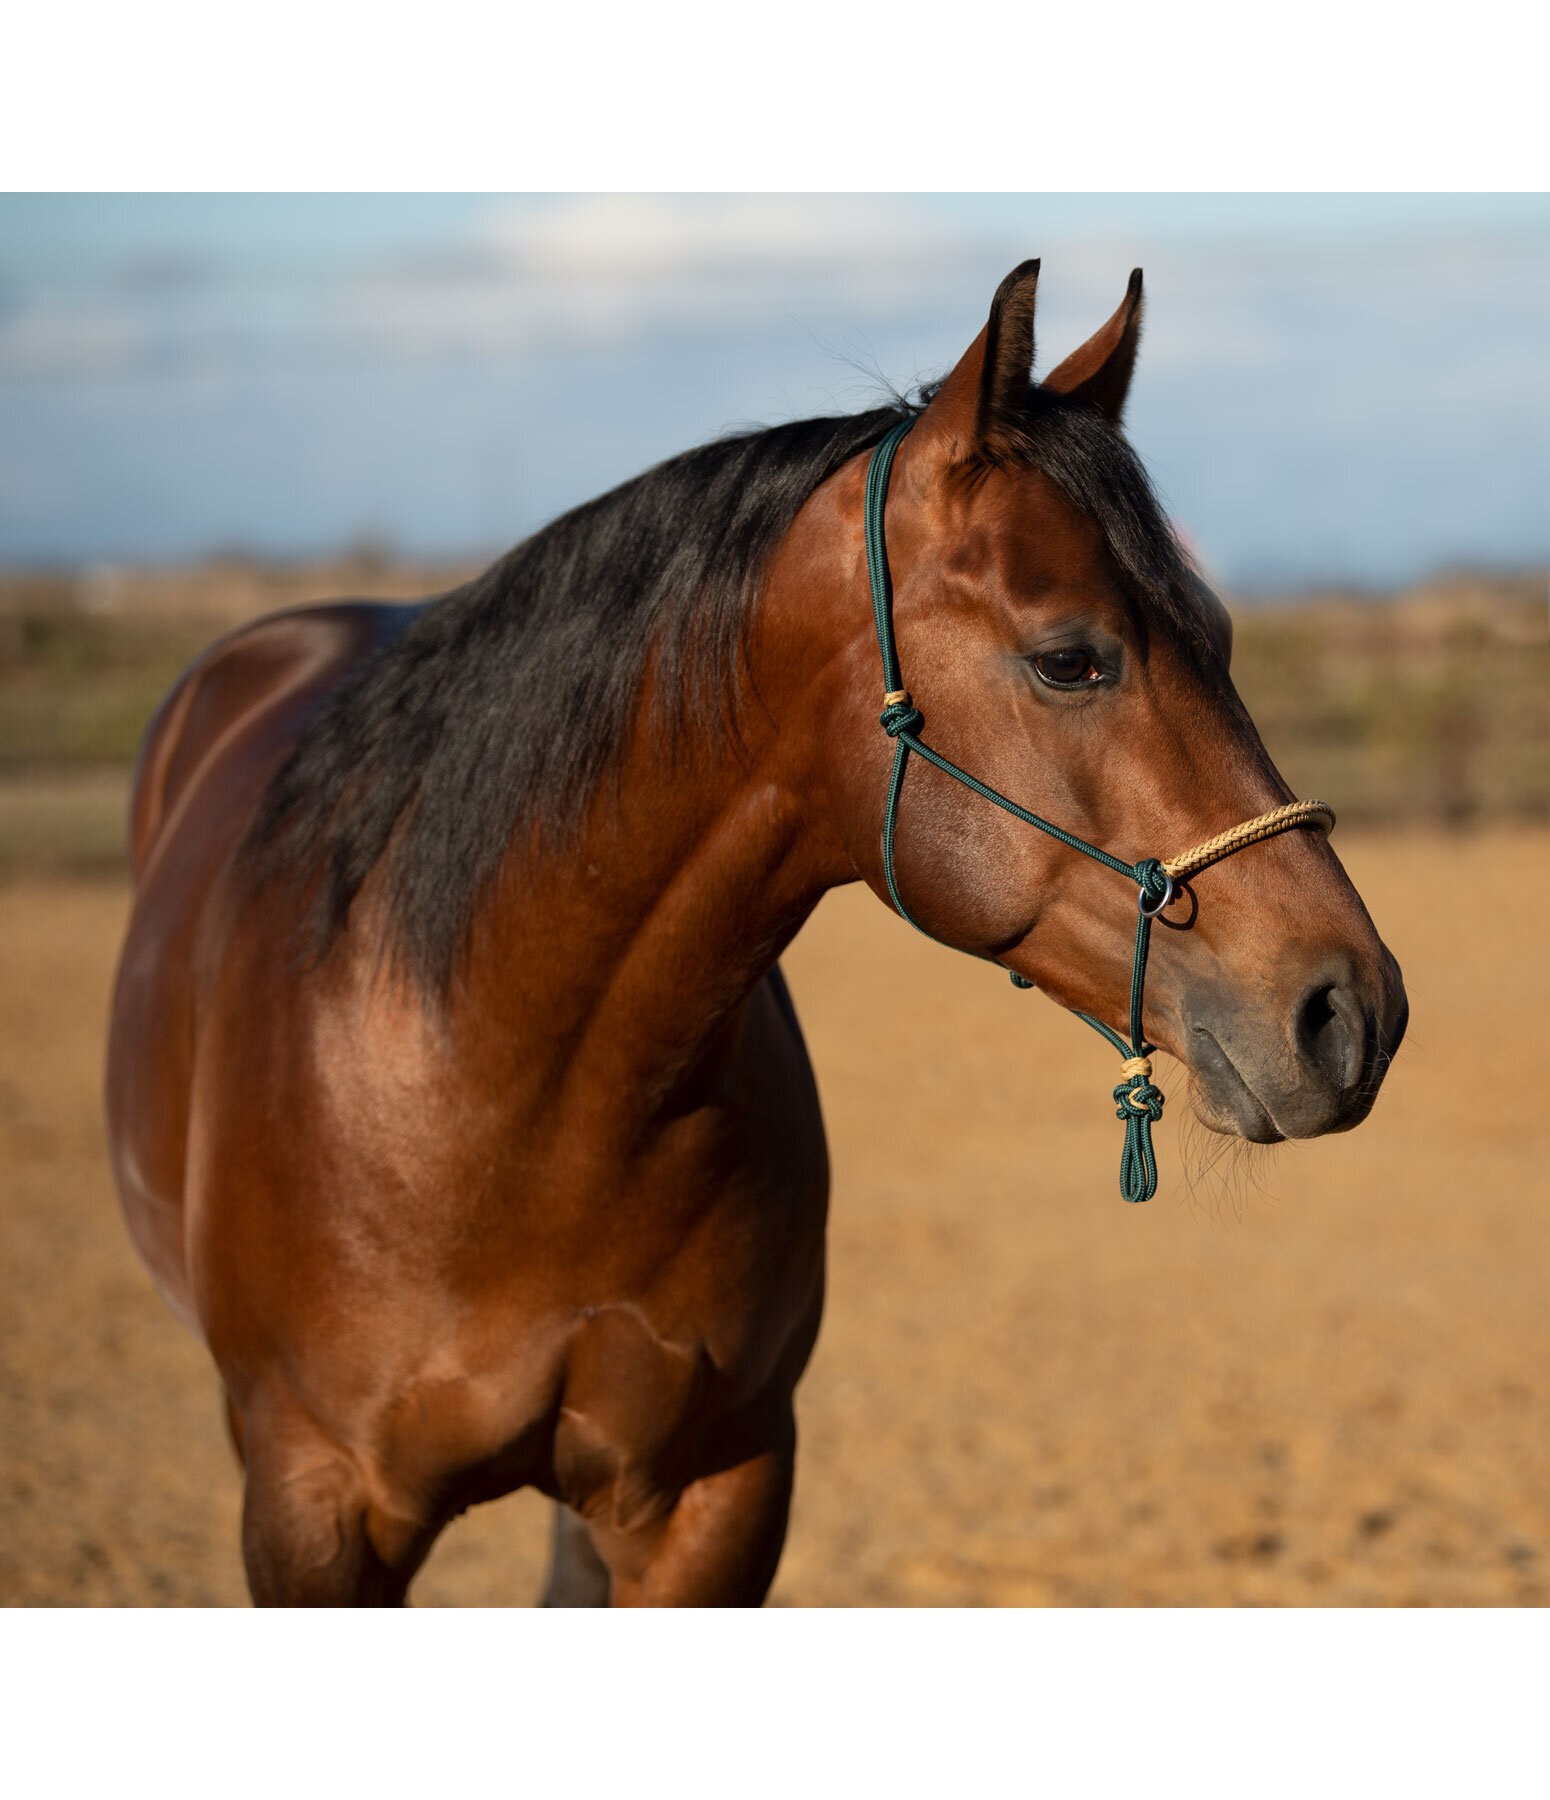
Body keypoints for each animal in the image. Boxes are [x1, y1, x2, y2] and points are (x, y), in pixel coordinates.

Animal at [99, 262, 1404, 1605]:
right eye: (1069, 660)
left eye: (1220, 635)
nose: (1349, 1012)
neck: (511, 1094)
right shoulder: (315, 1509)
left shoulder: (711, 1493)